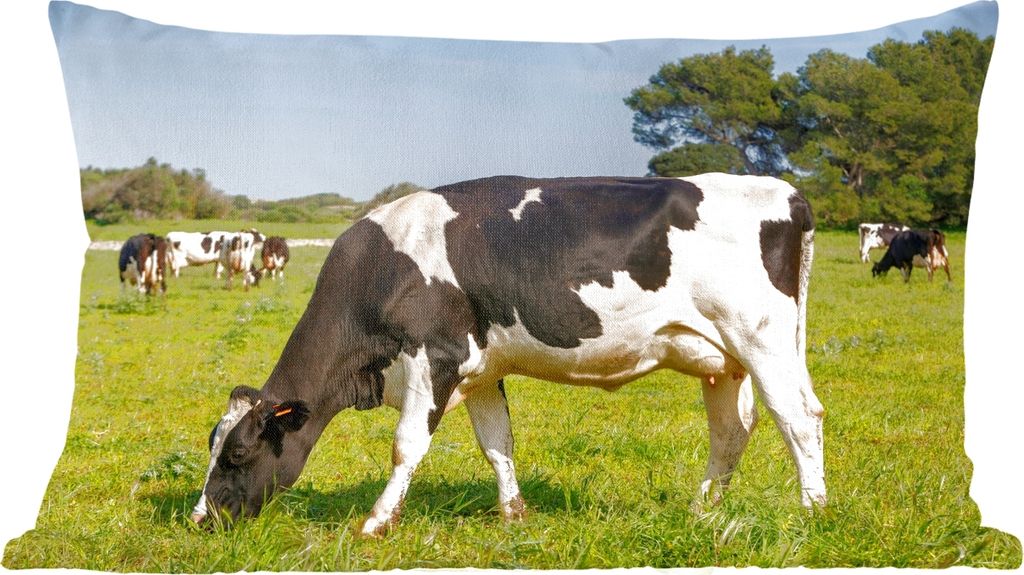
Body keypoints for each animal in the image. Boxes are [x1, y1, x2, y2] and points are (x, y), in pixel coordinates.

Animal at [191, 174, 824, 537]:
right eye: (213, 447)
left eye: (239, 454)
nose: (200, 519)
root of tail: (787, 191)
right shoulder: (478, 371)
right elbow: (497, 444)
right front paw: (514, 514)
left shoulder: (434, 358)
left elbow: (406, 446)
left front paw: (375, 521)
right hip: (722, 360)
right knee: (731, 430)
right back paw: (702, 510)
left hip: (762, 339)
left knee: (799, 418)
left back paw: (811, 511)